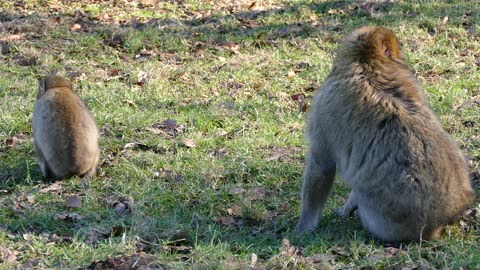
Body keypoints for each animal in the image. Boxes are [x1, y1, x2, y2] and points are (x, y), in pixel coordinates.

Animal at [294, 26, 474, 242]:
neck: (367, 64)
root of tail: (439, 223)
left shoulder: (324, 106)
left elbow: (321, 165)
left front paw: (304, 227)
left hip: (382, 220)